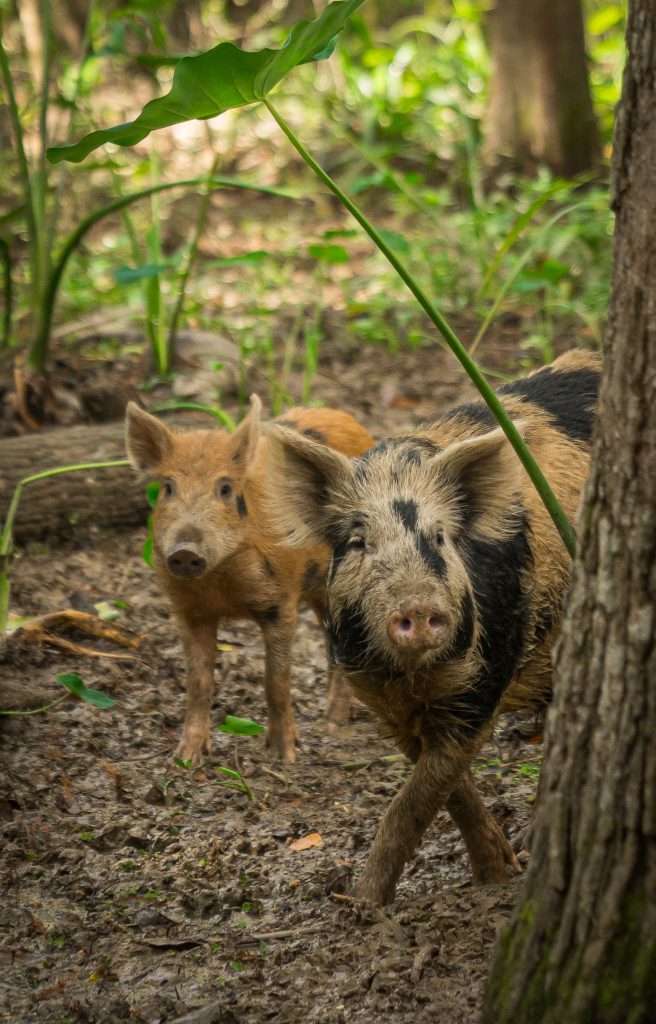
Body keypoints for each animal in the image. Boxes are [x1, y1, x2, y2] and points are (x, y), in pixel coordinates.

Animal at [125, 395, 372, 765]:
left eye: (225, 488)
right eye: (168, 488)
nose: (185, 551)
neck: (222, 587)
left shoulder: (279, 602)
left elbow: (276, 679)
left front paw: (284, 756)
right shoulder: (188, 611)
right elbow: (198, 682)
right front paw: (186, 760)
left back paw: (333, 724)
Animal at [264, 348, 597, 901]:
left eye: (439, 537)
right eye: (358, 542)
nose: (418, 606)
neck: (413, 676)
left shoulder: (485, 680)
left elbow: (413, 802)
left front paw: (363, 905)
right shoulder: (382, 701)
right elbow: (447, 789)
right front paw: (497, 873)